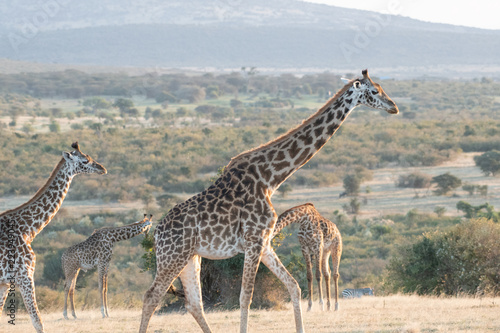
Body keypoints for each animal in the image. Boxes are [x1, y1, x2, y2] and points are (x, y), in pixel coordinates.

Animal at [0, 142, 106, 332]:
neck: (27, 230)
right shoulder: (25, 276)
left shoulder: (5, 283)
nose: (102, 168)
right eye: (85, 160)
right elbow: (38, 321)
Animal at [139, 68, 396, 330]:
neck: (270, 179)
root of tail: (157, 233)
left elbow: (294, 286)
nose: (393, 107)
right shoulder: (254, 240)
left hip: (191, 257)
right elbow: (245, 297)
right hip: (173, 257)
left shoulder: (265, 242)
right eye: (375, 91)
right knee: (151, 297)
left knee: (193, 303)